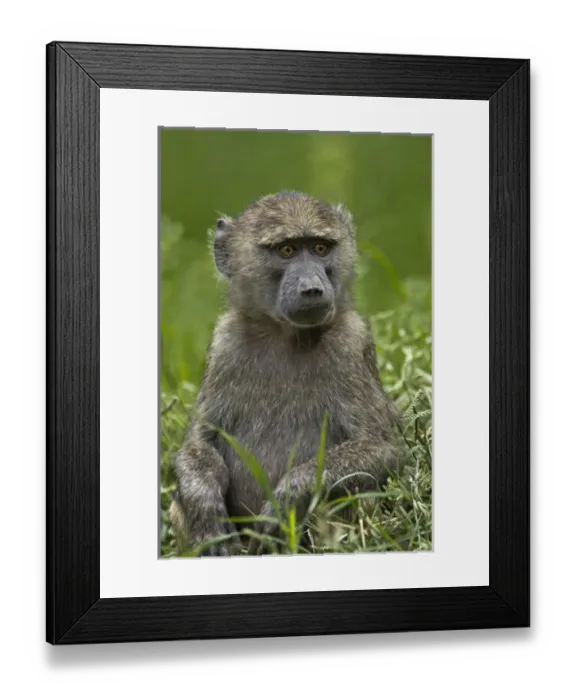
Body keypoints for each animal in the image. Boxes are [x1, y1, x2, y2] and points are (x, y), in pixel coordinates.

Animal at [169, 191, 401, 556]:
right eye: (287, 250)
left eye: (320, 248)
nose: (312, 289)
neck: (285, 334)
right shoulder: (224, 344)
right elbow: (198, 442)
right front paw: (205, 510)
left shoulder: (352, 343)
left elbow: (382, 451)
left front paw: (287, 501)